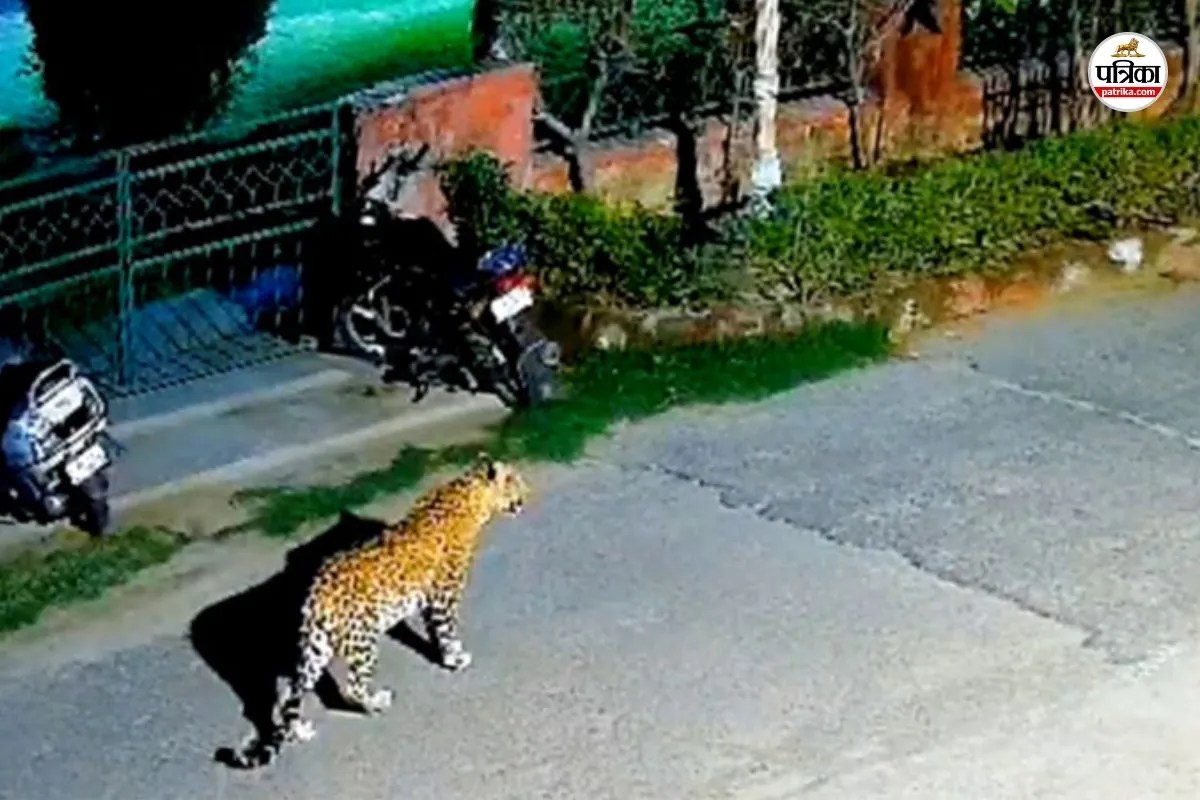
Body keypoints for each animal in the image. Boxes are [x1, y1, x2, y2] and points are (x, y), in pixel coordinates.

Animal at [221, 456, 530, 770]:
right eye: (516, 481)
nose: (529, 495)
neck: (472, 496)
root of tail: (317, 592)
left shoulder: (429, 601)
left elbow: (435, 632)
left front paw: (444, 657)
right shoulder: (443, 596)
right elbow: (447, 631)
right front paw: (455, 659)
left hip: (316, 647)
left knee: (291, 693)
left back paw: (300, 730)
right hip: (363, 640)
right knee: (353, 686)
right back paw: (376, 703)